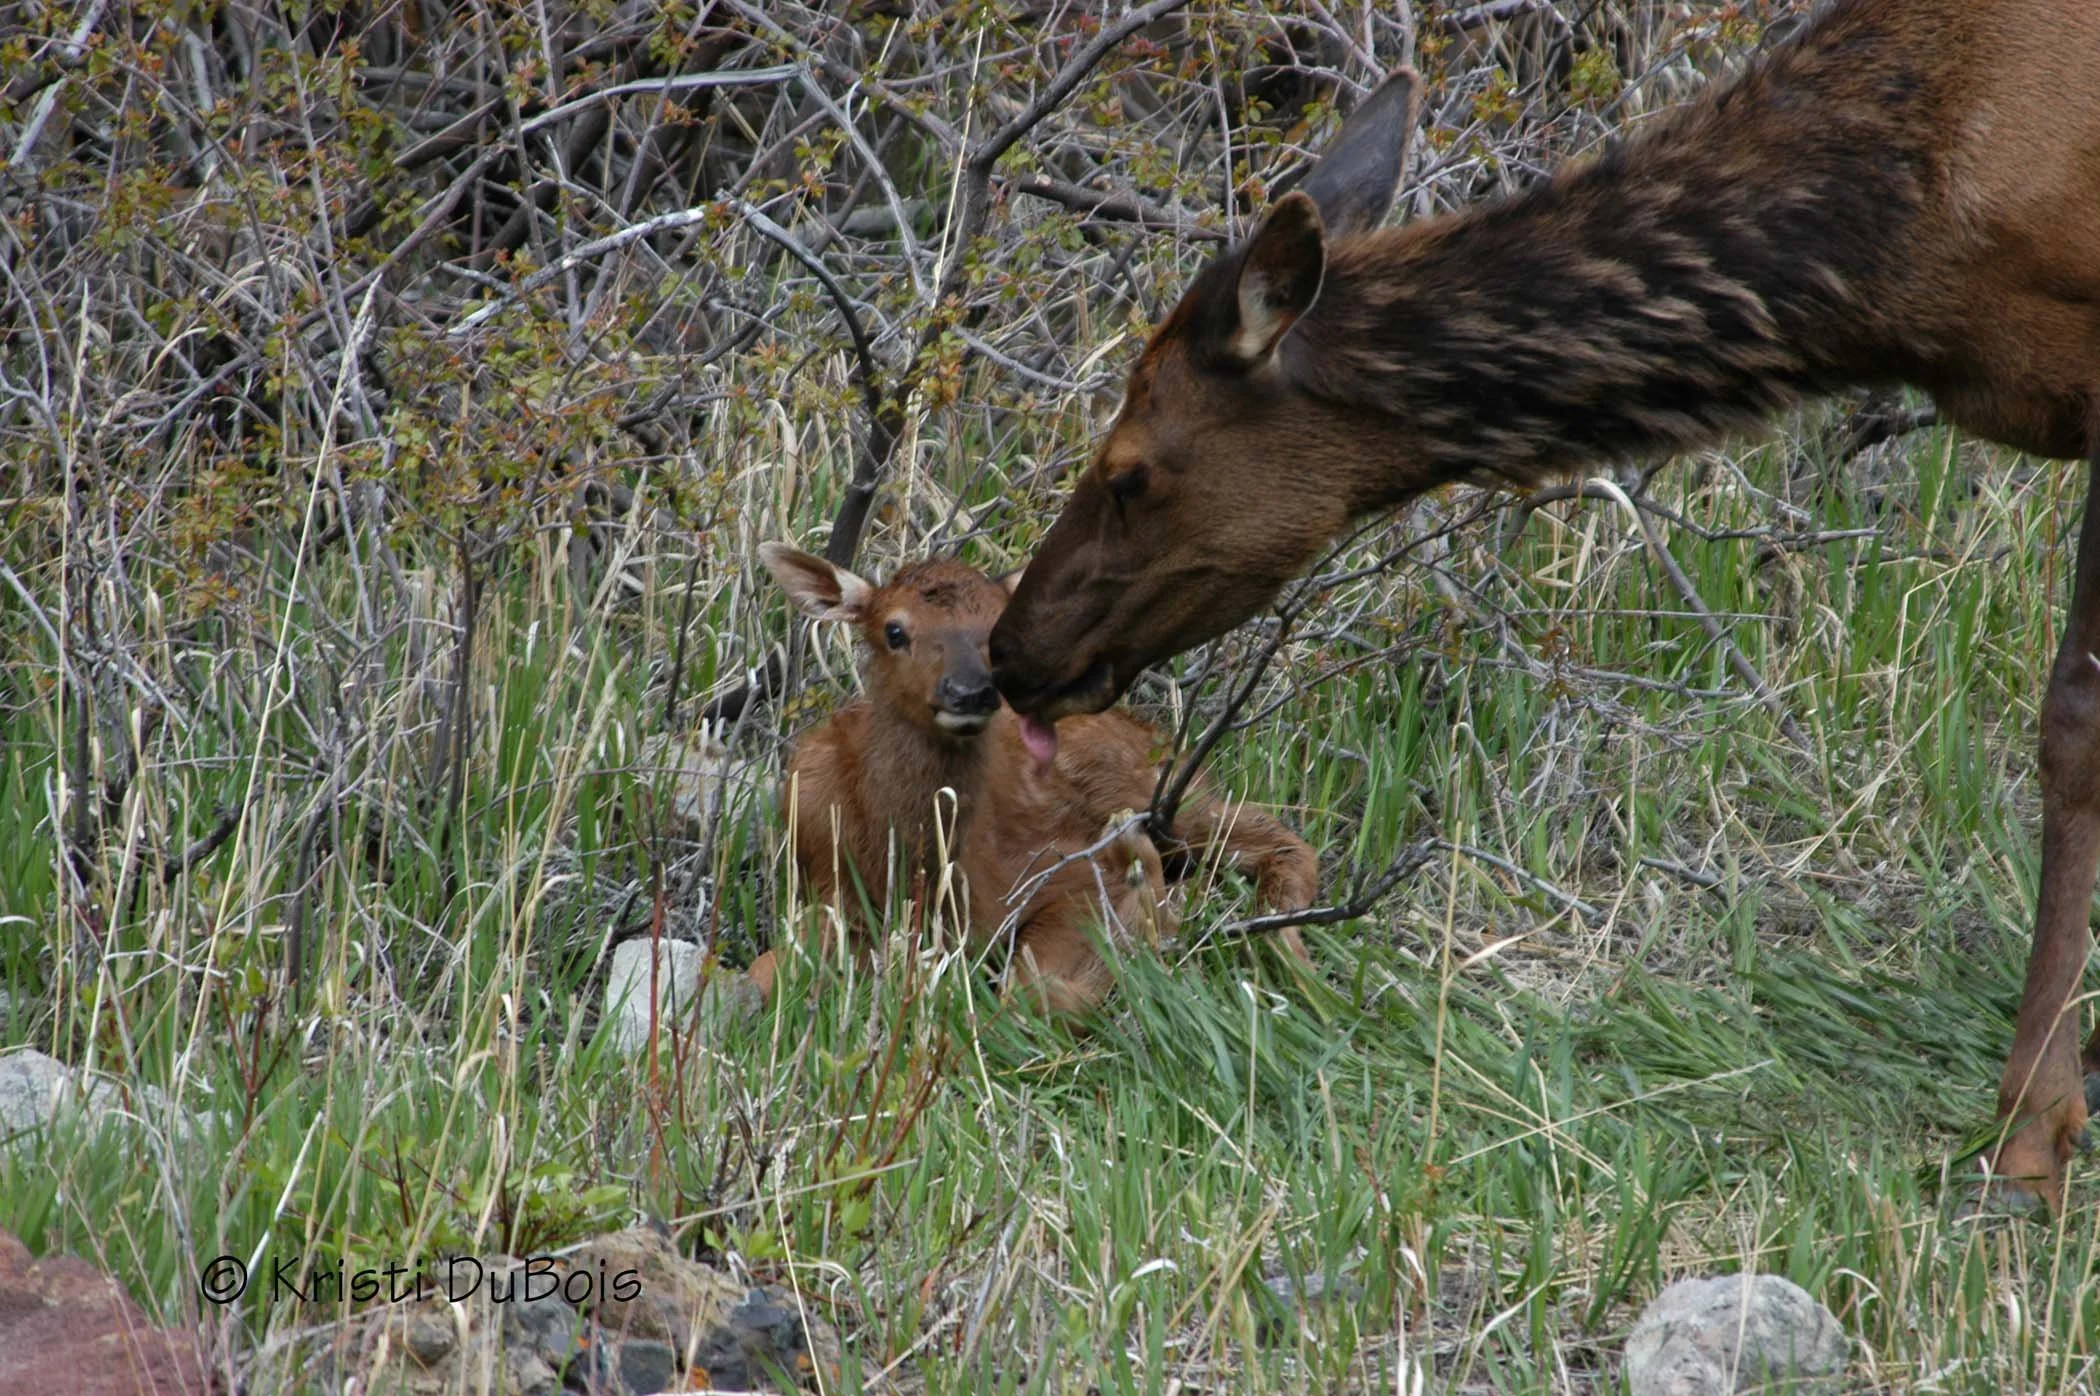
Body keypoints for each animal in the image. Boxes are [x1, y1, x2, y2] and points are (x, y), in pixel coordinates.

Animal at [753, 543, 1320, 1015]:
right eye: (894, 630)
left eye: (996, 631)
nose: (971, 691)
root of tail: (1145, 726)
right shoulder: (820, 878)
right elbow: (763, 971)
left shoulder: (1059, 867)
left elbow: (1030, 995)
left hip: (1152, 787)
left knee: (1282, 841)